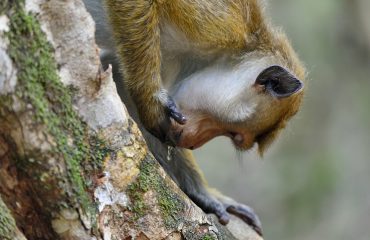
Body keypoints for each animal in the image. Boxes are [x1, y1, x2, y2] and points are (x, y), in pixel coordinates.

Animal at [82, 0, 304, 236]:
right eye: (234, 135)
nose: (193, 144)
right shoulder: (217, 23)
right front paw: (151, 99)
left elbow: (119, 79)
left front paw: (204, 193)